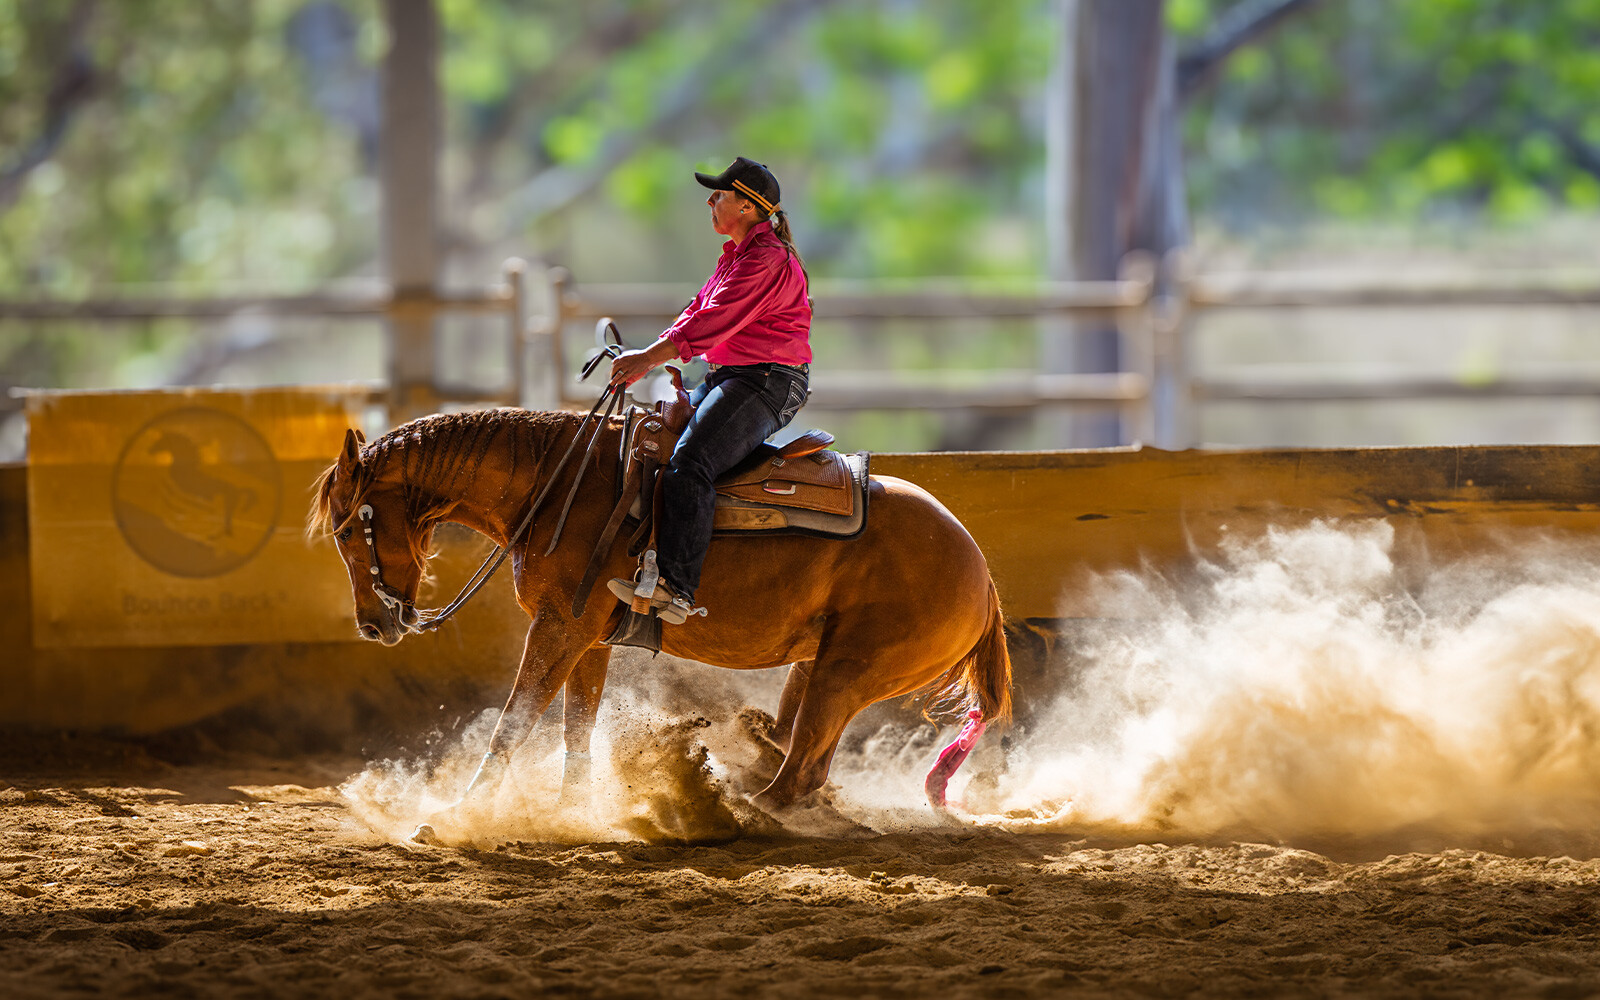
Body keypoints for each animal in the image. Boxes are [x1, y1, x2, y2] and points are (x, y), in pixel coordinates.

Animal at [308, 408, 1011, 819]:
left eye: (345, 532)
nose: (374, 624)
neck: (556, 488)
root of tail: (982, 575)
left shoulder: (558, 628)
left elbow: (514, 722)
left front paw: (453, 816)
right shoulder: (586, 639)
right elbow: (576, 729)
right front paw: (572, 814)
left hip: (849, 671)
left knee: (802, 768)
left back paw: (745, 810)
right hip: (819, 668)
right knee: (800, 751)